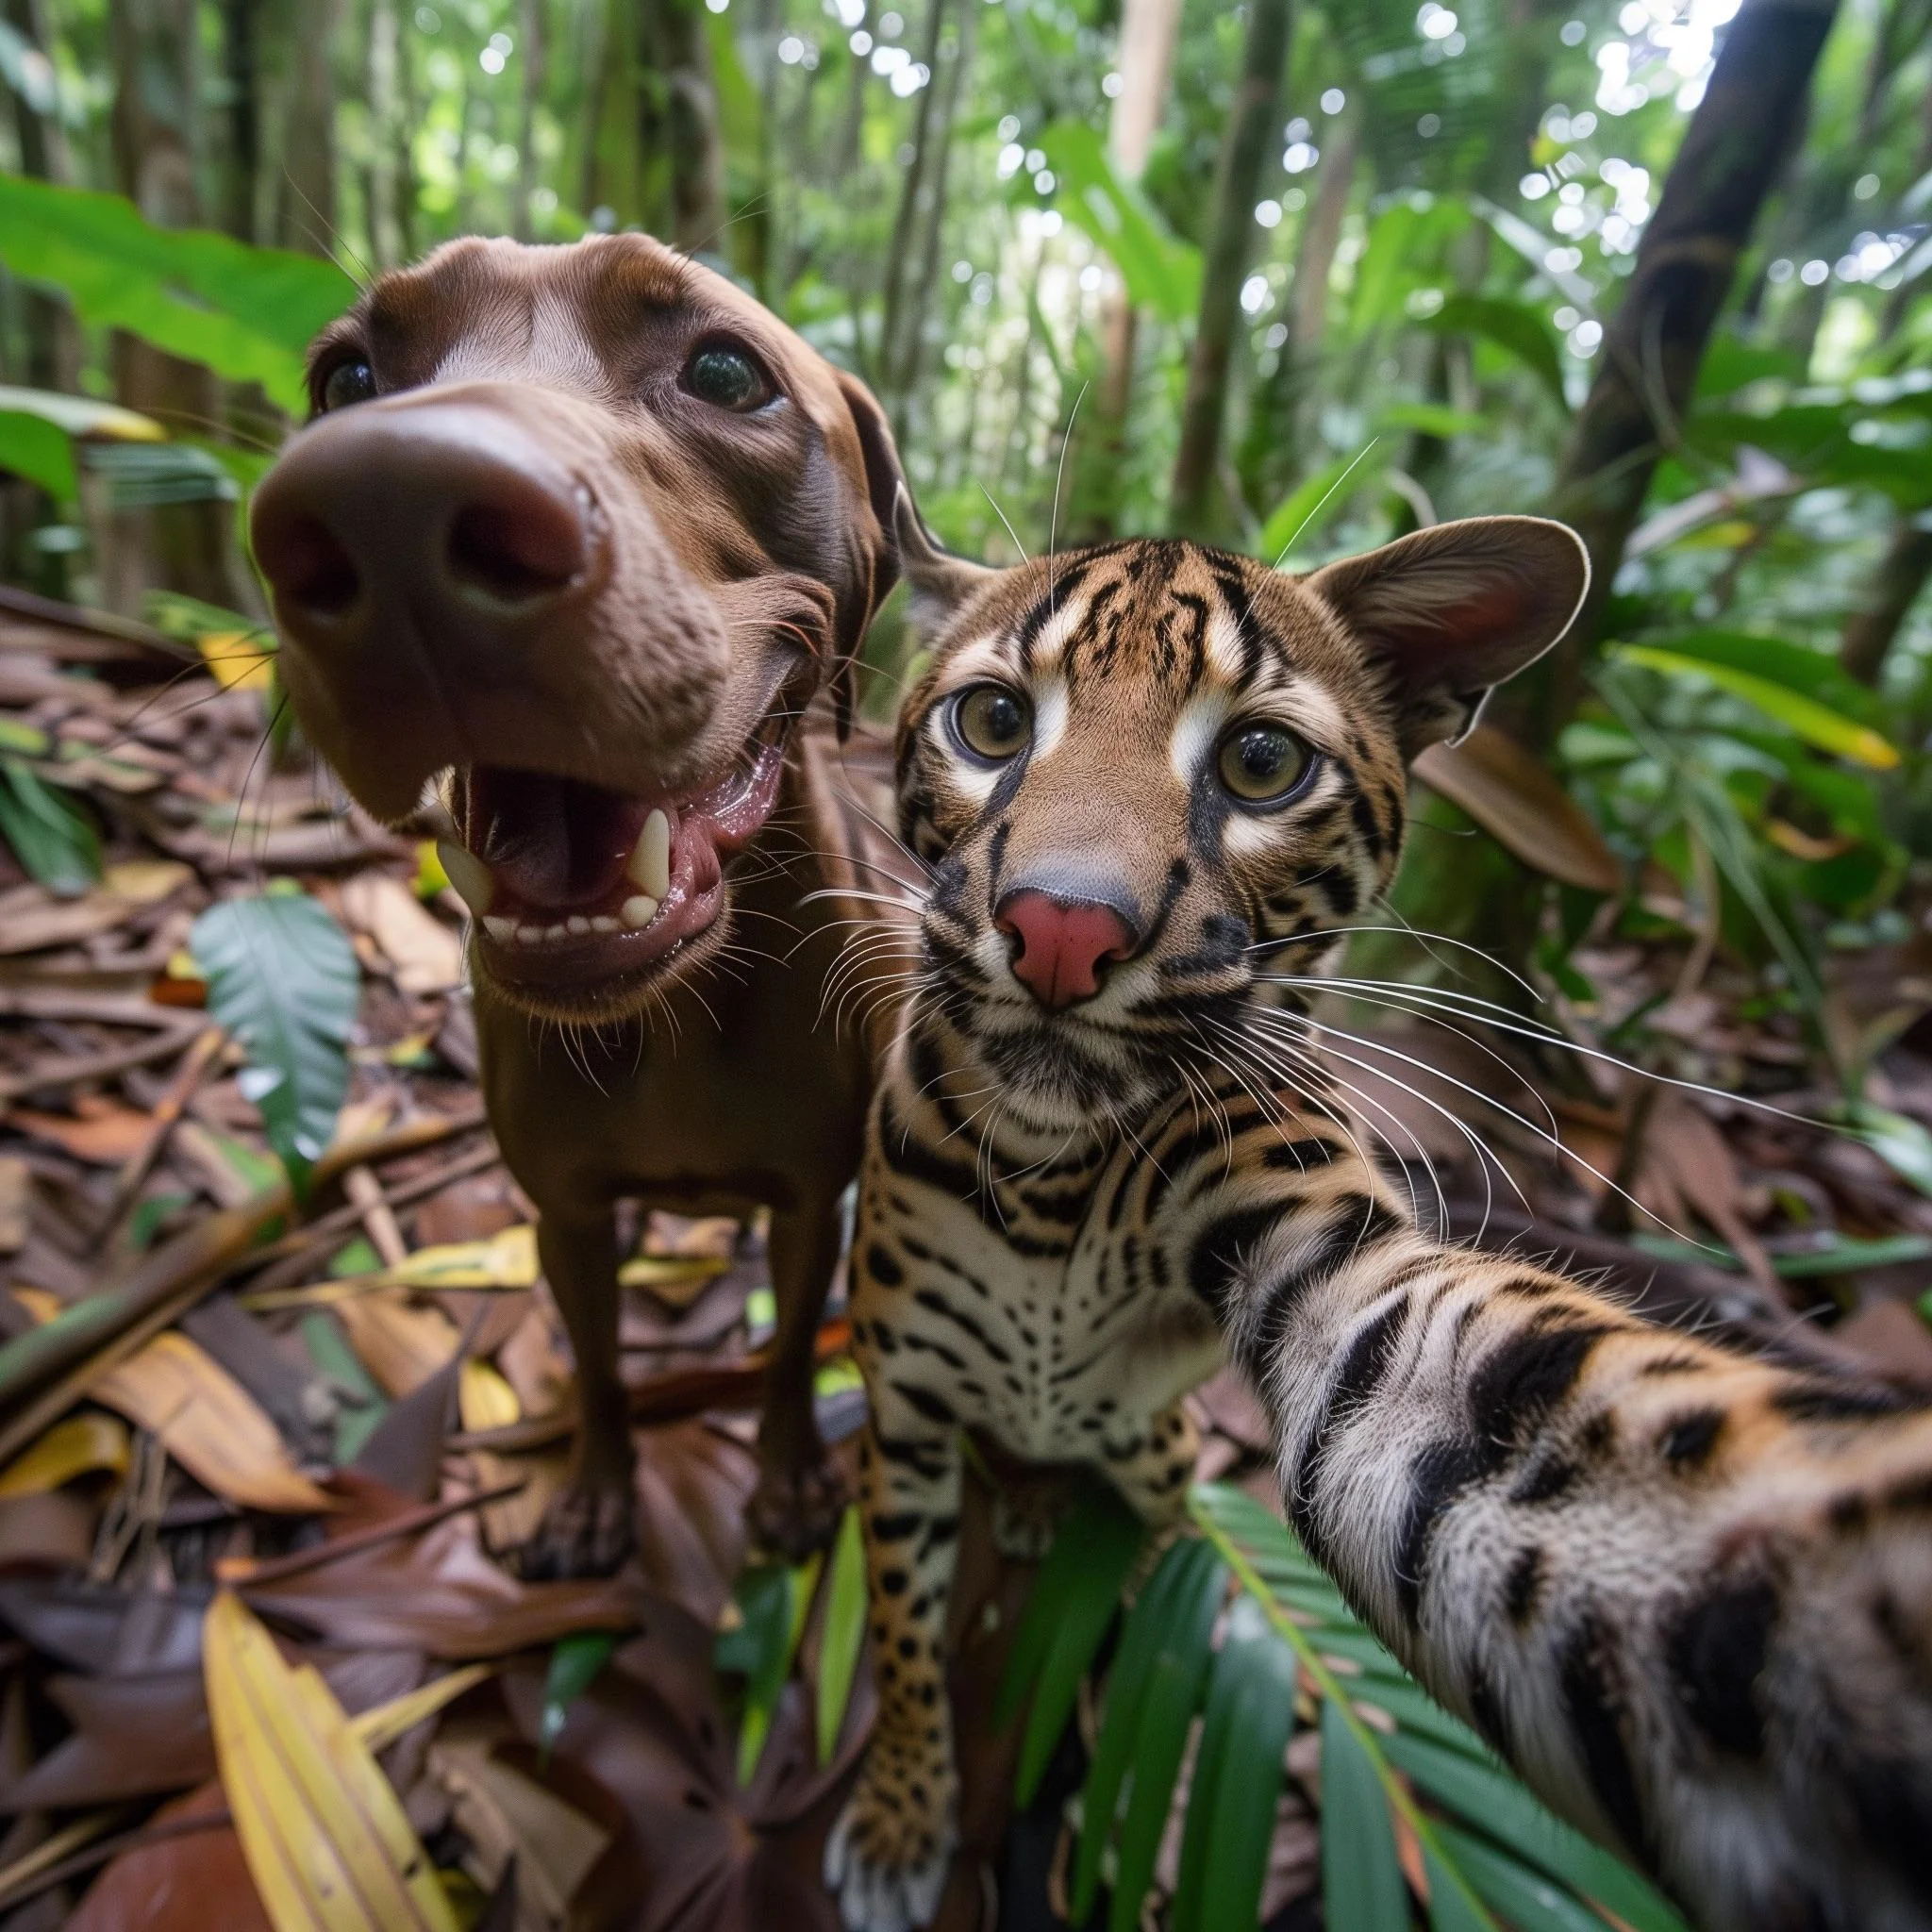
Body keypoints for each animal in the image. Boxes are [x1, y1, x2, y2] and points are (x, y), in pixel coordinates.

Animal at [249, 237, 904, 1568]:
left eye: (724, 370)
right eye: (346, 377)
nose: (386, 508)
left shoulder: (812, 1201)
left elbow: (783, 1354)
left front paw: (788, 1475)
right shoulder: (564, 1211)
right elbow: (600, 1364)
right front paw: (595, 1488)